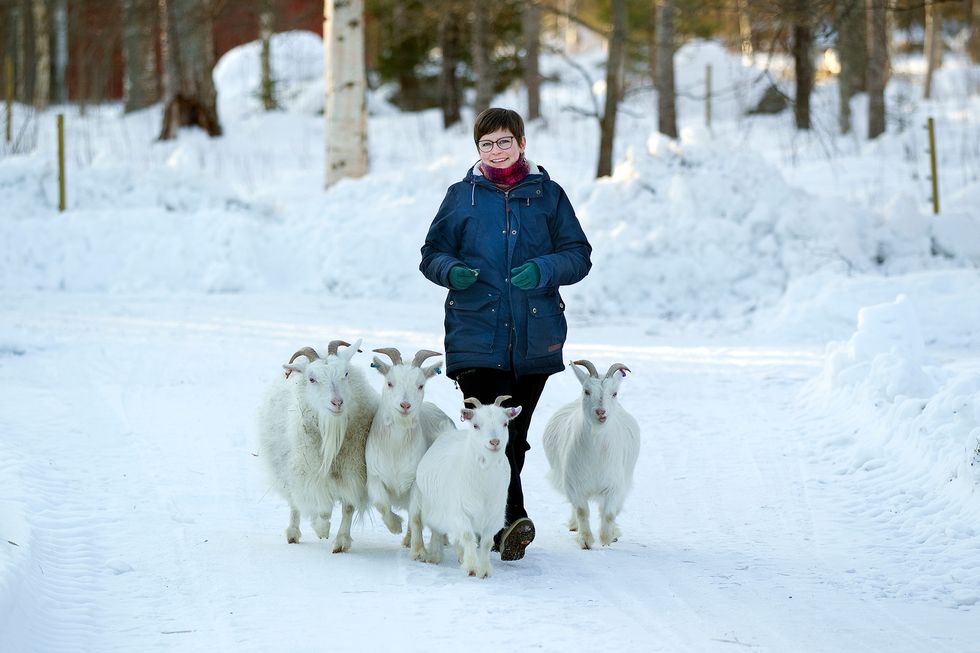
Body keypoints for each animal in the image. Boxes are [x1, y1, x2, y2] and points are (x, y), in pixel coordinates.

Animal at [256, 338, 378, 552]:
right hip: (290, 469)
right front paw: (321, 528)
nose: (337, 402)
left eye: (346, 373)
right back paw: (294, 532)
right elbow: (321, 507)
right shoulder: (311, 473)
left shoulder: (354, 473)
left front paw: (341, 541)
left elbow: (348, 507)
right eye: (312, 379)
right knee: (296, 501)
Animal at [366, 346, 454, 544]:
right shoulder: (374, 476)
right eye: (390, 383)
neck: (396, 449)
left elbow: (416, 517)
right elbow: (382, 505)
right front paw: (395, 526)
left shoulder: (416, 482)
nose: (405, 405)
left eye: (420, 385)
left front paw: (418, 547)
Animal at [408, 394, 520, 580]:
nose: (494, 441)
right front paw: (471, 568)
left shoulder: (493, 514)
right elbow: (468, 536)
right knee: (418, 521)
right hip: (422, 498)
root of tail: (446, 433)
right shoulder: (460, 511)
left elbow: (486, 542)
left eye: (505, 423)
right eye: (476, 425)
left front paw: (484, 570)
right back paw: (422, 554)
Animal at [540, 360, 640, 548]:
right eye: (586, 391)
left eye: (614, 393)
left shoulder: (614, 485)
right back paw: (574, 526)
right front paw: (585, 540)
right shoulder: (574, 484)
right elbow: (581, 510)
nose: (601, 412)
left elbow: (609, 513)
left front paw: (606, 538)